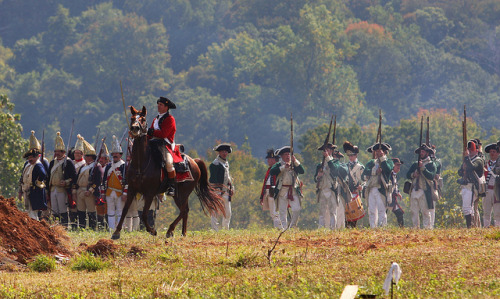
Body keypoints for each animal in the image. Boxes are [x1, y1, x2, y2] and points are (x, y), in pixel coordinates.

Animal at [112, 106, 227, 240]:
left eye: (143, 119)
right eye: (132, 118)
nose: (135, 129)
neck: (141, 164)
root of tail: (194, 161)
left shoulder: (150, 193)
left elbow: (145, 214)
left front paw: (152, 230)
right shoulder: (131, 189)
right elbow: (125, 210)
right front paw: (116, 232)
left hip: (182, 193)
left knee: (184, 210)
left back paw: (170, 230)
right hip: (180, 195)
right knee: (185, 210)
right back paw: (183, 233)